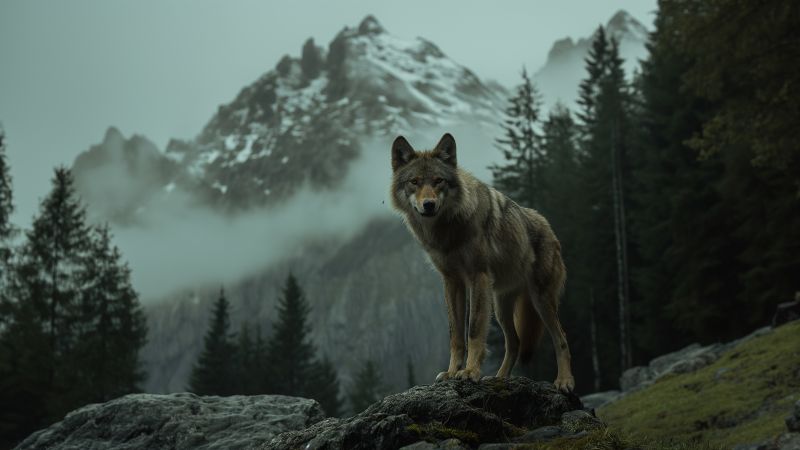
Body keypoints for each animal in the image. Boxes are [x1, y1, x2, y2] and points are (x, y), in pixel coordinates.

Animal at [390, 133, 575, 392]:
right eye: (414, 182)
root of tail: (550, 229)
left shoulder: (478, 276)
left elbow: (474, 329)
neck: (447, 231)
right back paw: (500, 379)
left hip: (540, 301)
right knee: (515, 342)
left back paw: (564, 381)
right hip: (500, 306)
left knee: (561, 338)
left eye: (438, 181)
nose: (429, 205)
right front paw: (452, 372)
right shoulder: (452, 282)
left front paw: (469, 372)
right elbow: (456, 334)